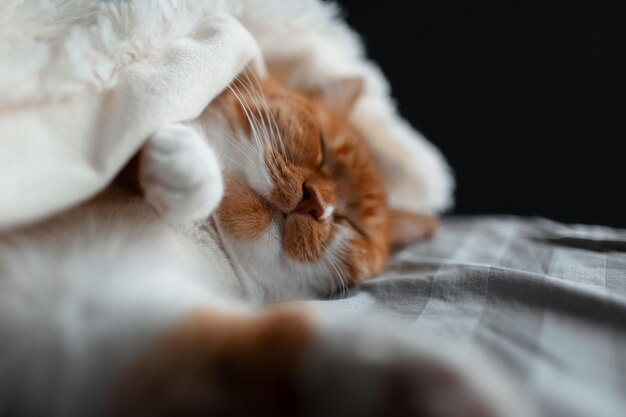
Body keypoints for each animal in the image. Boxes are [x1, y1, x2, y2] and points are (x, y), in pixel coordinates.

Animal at [0, 72, 512, 416]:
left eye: (350, 224)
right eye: (322, 149)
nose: (315, 203)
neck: (205, 233)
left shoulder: (114, 329)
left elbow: (279, 344)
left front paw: (422, 387)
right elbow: (141, 147)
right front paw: (186, 165)